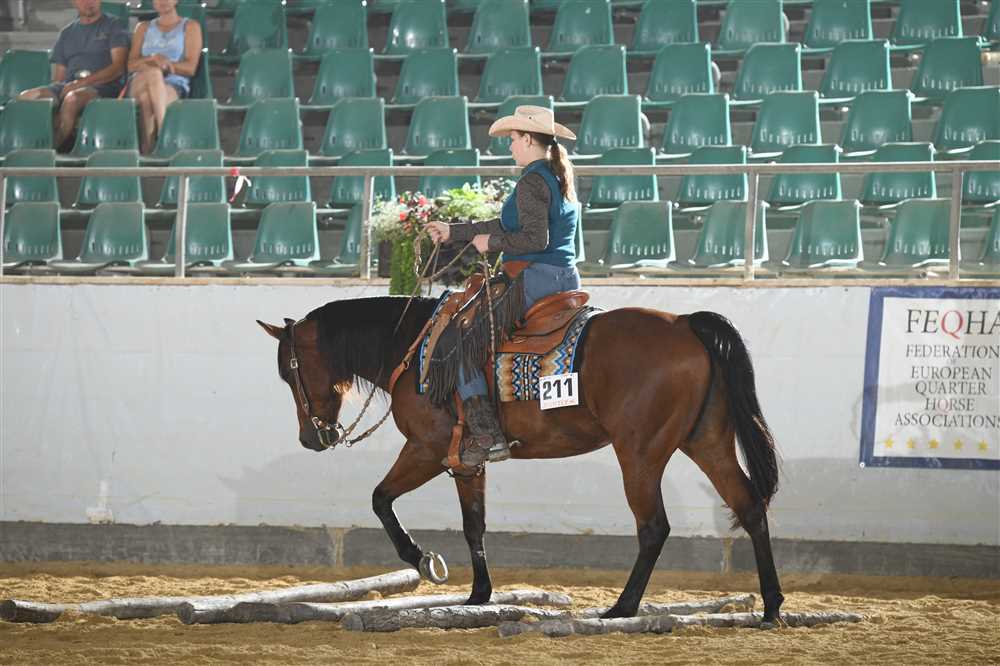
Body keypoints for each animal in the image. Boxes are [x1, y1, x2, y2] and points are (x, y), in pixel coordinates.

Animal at [257, 295, 785, 624]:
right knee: (750, 506)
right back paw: (771, 606)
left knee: (654, 527)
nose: (312, 438)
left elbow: (380, 499)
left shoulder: (427, 448)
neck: (412, 350)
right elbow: (474, 524)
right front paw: (478, 595)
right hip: (708, 441)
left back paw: (622, 607)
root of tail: (686, 323)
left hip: (640, 453)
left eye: (287, 371)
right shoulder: (467, 459)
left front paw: (421, 559)